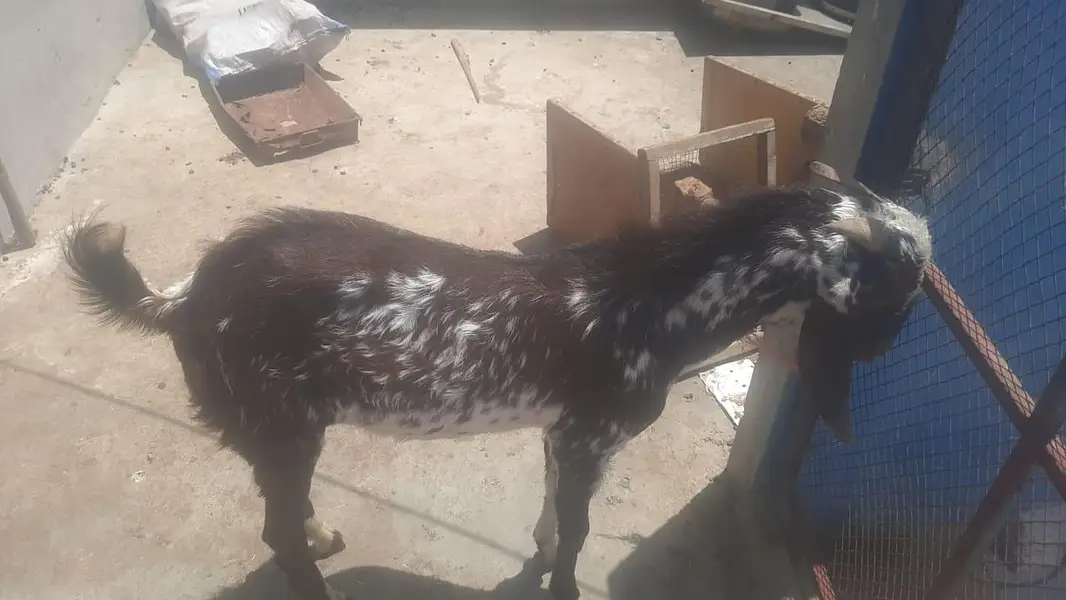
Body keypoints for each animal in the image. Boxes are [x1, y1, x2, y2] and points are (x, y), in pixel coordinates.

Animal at [62, 185, 932, 600]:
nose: (885, 353)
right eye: (907, 281)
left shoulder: (561, 433)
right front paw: (565, 585)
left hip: (268, 426)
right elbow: (579, 532)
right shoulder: (591, 437)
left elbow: (551, 509)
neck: (656, 301)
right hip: (284, 419)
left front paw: (540, 553)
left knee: (281, 507)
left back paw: (320, 536)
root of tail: (187, 296)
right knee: (273, 529)